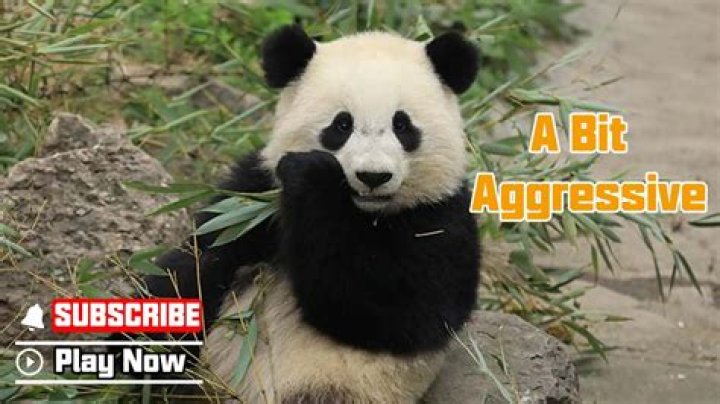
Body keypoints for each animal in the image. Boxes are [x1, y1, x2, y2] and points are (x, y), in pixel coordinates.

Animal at [144, 25, 481, 403]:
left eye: (403, 126)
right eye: (342, 125)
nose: (373, 176)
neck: (366, 213)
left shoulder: (439, 218)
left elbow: (395, 313)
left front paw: (312, 176)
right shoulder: (253, 199)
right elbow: (198, 265)